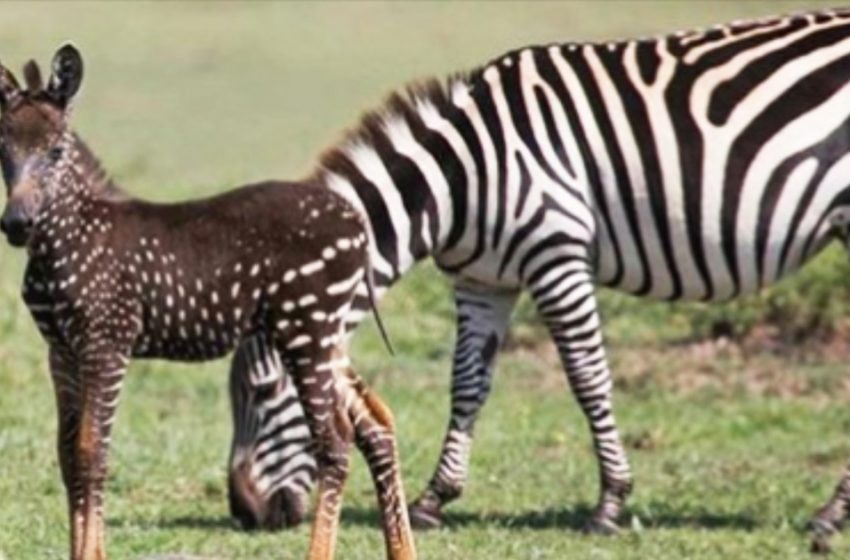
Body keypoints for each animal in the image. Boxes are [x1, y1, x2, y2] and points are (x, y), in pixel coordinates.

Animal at [0, 46, 412, 560]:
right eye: (2, 150)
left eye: (56, 151)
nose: (16, 225)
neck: (67, 239)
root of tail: (356, 220)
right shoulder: (61, 351)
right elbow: (67, 455)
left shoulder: (106, 343)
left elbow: (92, 454)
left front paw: (91, 554)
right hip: (324, 334)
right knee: (374, 423)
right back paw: (403, 550)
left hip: (308, 330)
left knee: (334, 444)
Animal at [227, 7, 850, 552]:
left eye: (262, 391)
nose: (244, 512)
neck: (453, 180)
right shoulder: (482, 281)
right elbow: (468, 383)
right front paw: (433, 499)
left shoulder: (557, 255)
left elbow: (587, 378)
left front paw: (609, 503)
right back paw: (831, 514)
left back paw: (828, 515)